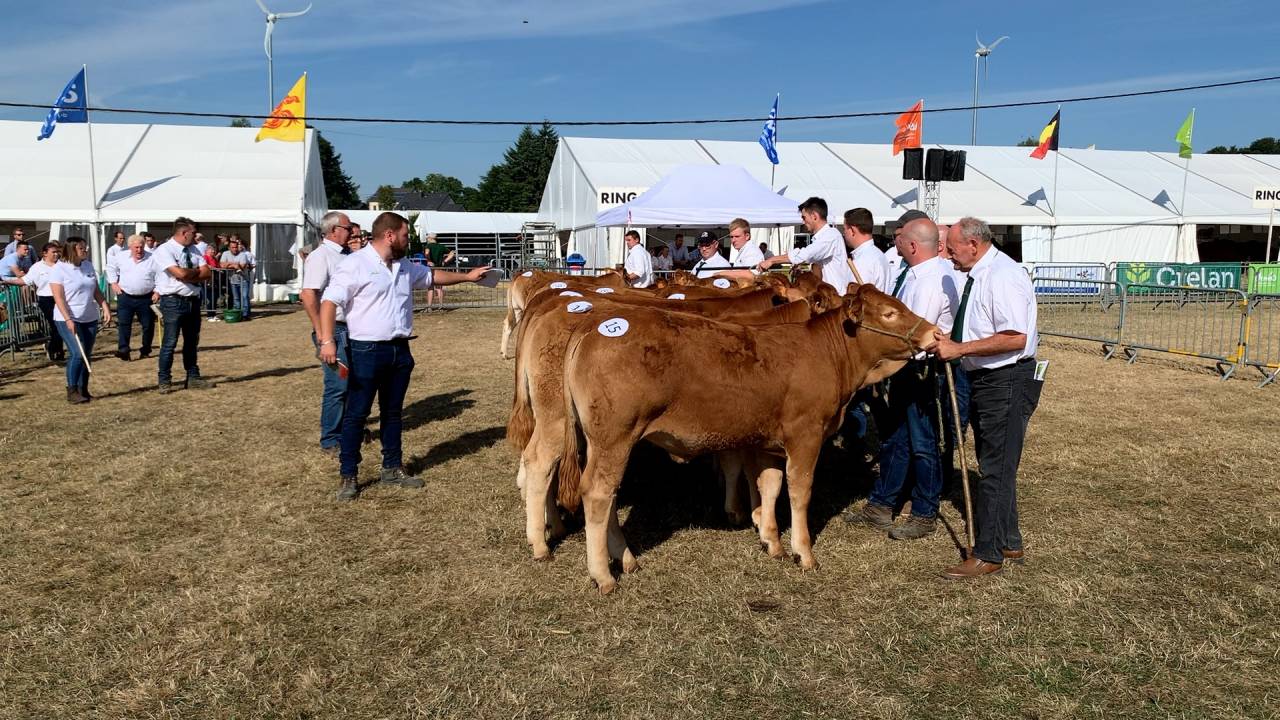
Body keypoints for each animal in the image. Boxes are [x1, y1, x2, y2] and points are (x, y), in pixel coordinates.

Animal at [555, 283, 936, 591]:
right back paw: (603, 575)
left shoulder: (769, 442)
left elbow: (769, 485)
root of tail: (592, 327)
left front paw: (772, 540)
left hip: (604, 444)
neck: (825, 353)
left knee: (608, 494)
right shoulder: (806, 435)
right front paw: (803, 551)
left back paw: (626, 559)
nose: (934, 333)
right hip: (614, 439)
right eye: (889, 313)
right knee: (598, 493)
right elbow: (799, 491)